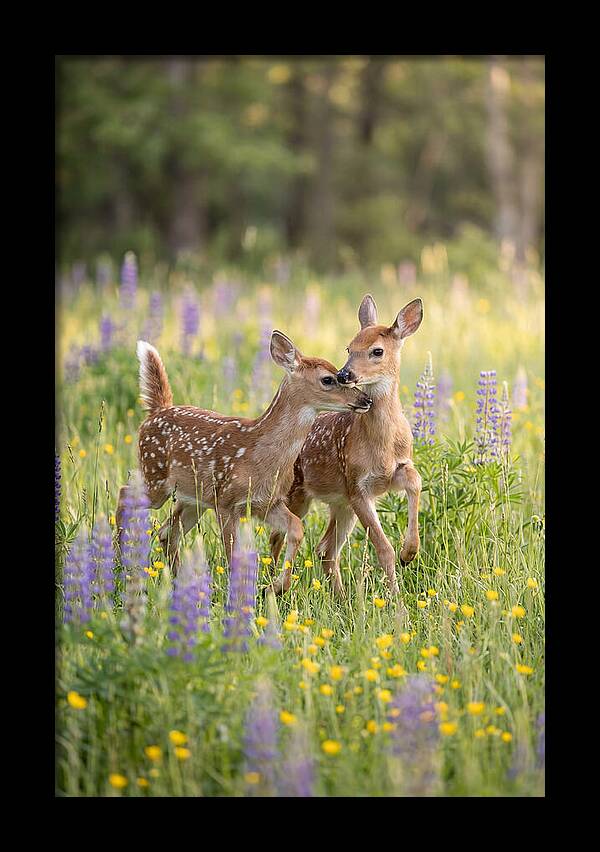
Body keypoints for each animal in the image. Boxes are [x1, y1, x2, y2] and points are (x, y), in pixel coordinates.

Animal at [116, 332, 372, 589]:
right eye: (328, 379)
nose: (366, 399)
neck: (259, 455)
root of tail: (157, 411)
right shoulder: (226, 502)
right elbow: (233, 555)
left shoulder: (267, 502)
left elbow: (296, 528)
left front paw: (276, 587)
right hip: (156, 477)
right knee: (125, 493)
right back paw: (119, 560)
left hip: (193, 499)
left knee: (167, 532)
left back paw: (177, 581)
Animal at [270, 296, 423, 597]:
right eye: (349, 348)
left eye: (377, 351)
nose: (344, 374)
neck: (383, 444)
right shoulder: (357, 486)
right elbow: (383, 549)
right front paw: (396, 599)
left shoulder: (392, 473)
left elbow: (415, 481)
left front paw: (409, 552)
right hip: (298, 494)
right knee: (277, 538)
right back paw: (270, 585)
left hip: (340, 504)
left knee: (325, 549)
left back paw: (340, 597)